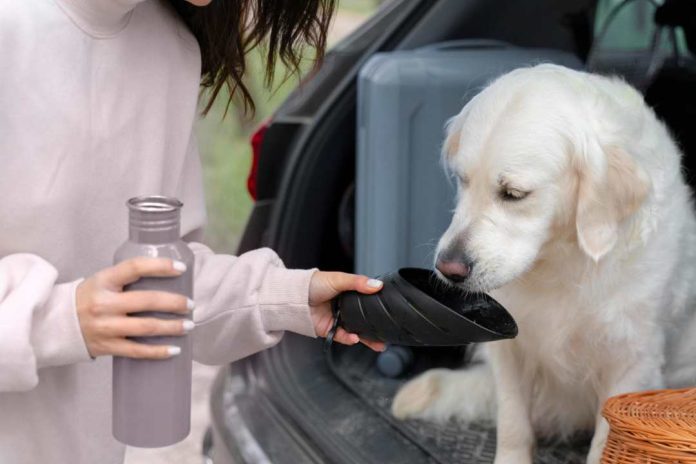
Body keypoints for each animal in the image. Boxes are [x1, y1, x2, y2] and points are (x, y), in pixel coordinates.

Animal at [392, 64, 696, 464]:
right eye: (463, 179)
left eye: (513, 194)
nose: (448, 268)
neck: (563, 258)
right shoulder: (509, 348)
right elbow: (513, 422)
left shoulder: (632, 361)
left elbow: (605, 440)